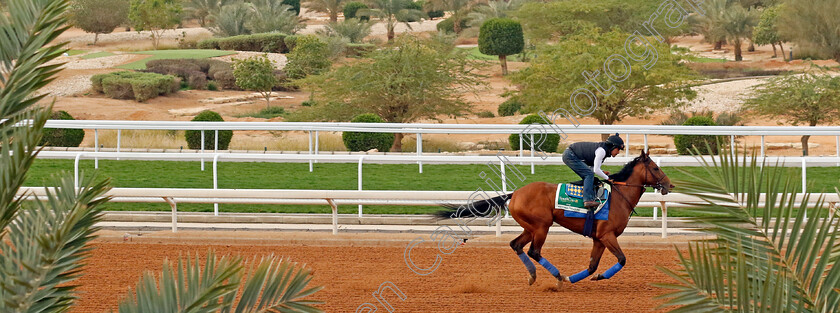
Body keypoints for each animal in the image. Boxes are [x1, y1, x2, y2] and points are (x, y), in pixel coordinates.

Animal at [436, 151, 672, 288]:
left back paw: (533, 276)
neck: (619, 197)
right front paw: (574, 279)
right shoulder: (607, 235)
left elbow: (592, 266)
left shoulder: (598, 238)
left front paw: (585, 278)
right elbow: (622, 259)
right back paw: (557, 277)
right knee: (534, 251)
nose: (670, 185)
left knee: (516, 245)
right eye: (656, 168)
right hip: (542, 226)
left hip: (530, 227)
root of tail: (515, 193)